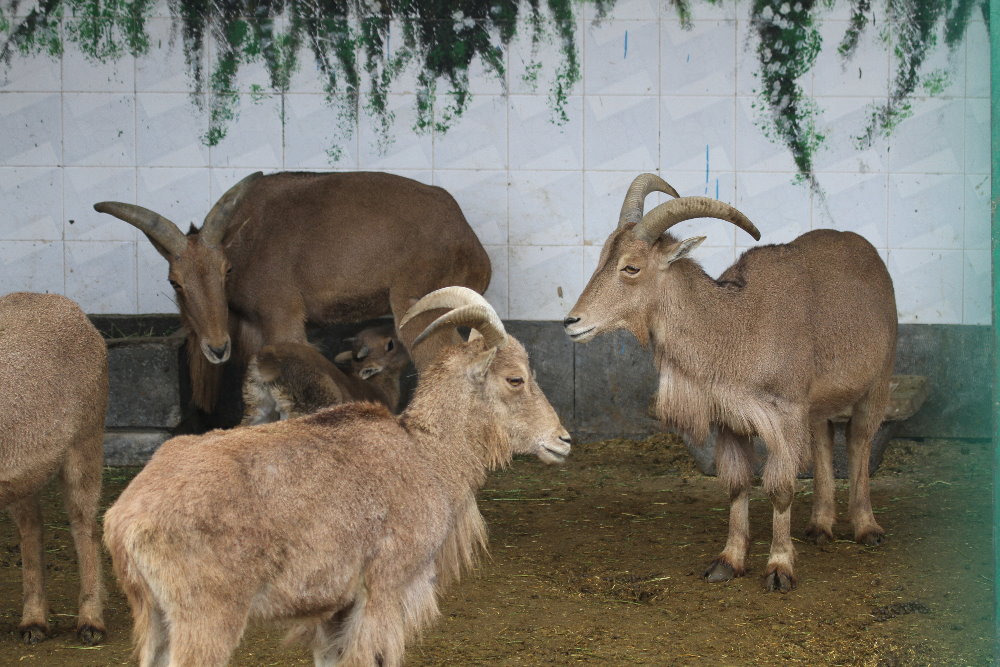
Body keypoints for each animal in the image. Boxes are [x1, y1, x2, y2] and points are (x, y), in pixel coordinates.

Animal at [0, 292, 107, 643]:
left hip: (87, 437)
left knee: (85, 524)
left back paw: (91, 623)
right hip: (24, 475)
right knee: (32, 528)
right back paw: (33, 622)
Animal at [93, 171, 491, 412]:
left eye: (226, 271)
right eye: (175, 280)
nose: (218, 347)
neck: (247, 241)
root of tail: (468, 238)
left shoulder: (282, 318)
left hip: (422, 310)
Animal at [564, 173, 897, 592]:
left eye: (631, 268)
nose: (572, 322)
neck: (733, 326)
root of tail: (868, 252)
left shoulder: (784, 413)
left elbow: (781, 488)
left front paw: (779, 568)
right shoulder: (730, 418)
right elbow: (737, 485)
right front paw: (728, 561)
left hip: (877, 382)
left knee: (858, 439)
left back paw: (868, 528)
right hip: (818, 401)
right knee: (824, 438)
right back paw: (820, 526)